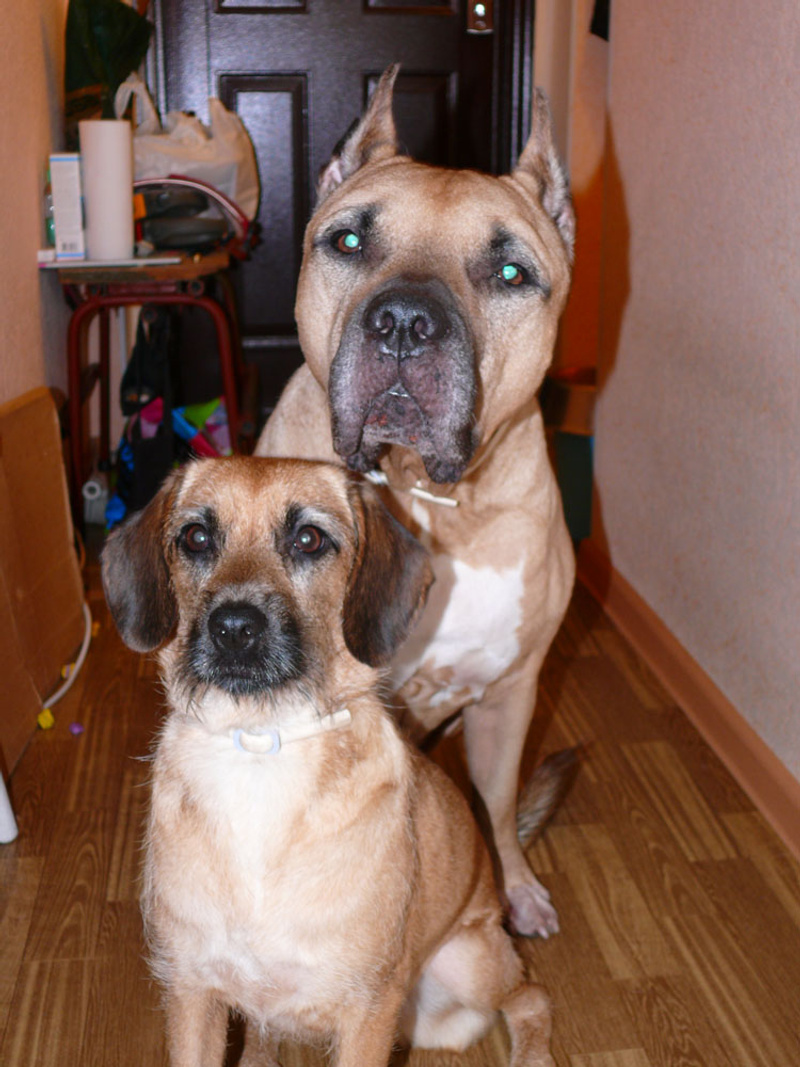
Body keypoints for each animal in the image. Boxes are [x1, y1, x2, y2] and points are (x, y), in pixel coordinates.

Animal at [101, 456, 558, 1066]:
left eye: (309, 539)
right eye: (195, 537)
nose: (234, 629)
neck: (260, 744)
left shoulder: (368, 1010)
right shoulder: (191, 993)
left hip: (466, 966)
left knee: (531, 997)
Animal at [255, 66, 576, 937]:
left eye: (511, 274)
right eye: (348, 242)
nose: (403, 321)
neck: (427, 491)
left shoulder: (511, 695)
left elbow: (495, 802)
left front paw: (513, 883)